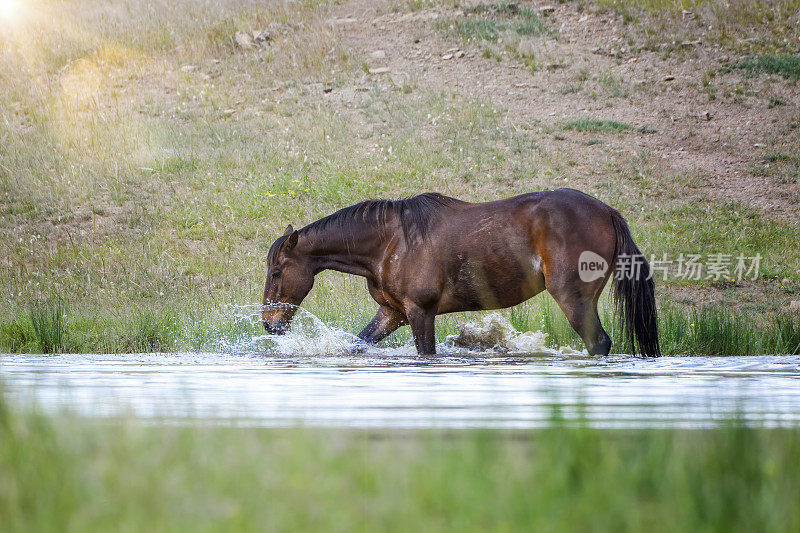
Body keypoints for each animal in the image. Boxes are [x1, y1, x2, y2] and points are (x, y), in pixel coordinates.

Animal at [260, 189, 660, 356]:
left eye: (277, 271)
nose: (269, 324)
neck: (391, 241)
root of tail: (608, 211)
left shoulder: (420, 312)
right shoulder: (392, 312)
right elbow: (357, 343)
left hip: (573, 299)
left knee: (599, 343)